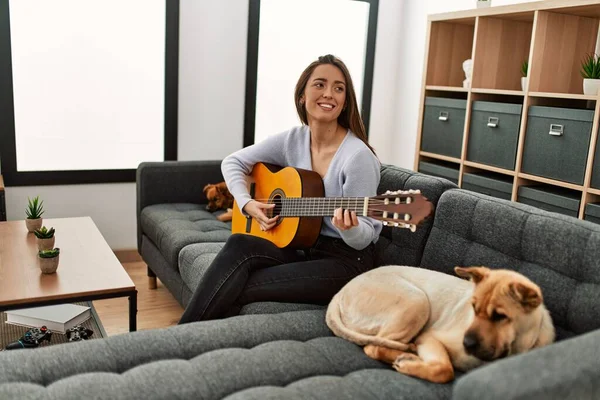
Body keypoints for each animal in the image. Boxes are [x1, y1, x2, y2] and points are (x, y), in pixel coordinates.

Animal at [326, 264, 556, 382]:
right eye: (473, 308)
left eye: (500, 316)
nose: (467, 343)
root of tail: (340, 292)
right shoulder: (430, 338)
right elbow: (445, 370)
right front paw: (411, 364)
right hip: (416, 300)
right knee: (373, 346)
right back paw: (408, 355)